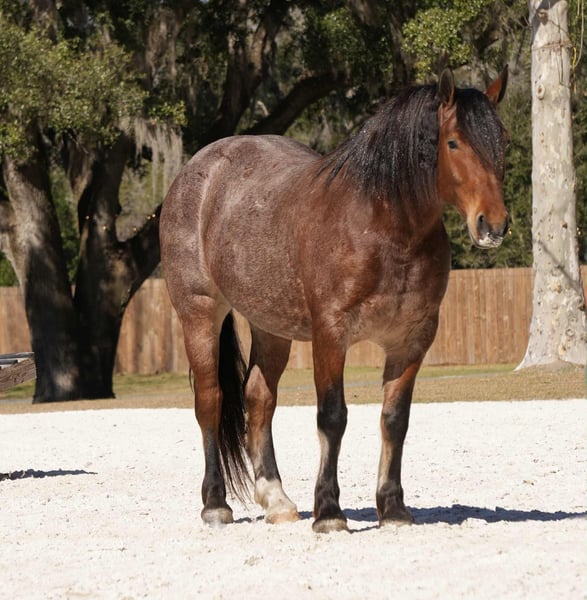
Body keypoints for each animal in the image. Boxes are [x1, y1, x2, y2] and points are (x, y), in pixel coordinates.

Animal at [159, 67, 509, 533]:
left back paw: (277, 500)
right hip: (200, 313)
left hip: (271, 328)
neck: (383, 226)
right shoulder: (330, 335)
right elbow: (332, 417)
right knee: (210, 401)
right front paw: (328, 511)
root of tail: (196, 171)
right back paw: (216, 504)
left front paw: (393, 508)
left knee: (258, 399)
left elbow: (395, 420)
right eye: (453, 142)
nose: (494, 225)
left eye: (503, 139)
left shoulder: (412, 340)